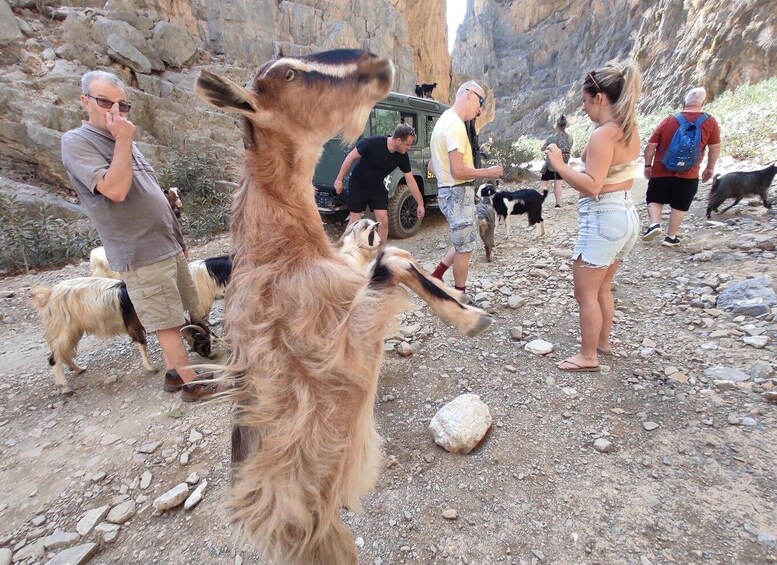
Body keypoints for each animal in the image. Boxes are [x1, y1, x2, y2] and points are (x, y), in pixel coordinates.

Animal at [194, 49, 492, 564]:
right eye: (290, 74)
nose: (377, 65)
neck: (285, 250)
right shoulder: (344, 347)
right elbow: (394, 261)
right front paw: (472, 318)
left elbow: (397, 259)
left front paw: (463, 307)